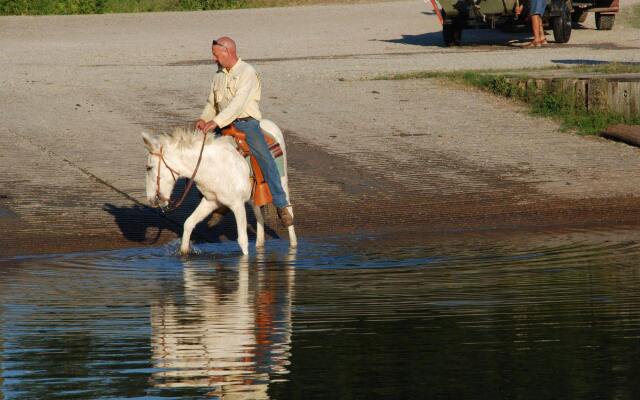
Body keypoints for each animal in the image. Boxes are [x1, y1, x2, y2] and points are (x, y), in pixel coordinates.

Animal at [142, 119, 298, 256]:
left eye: (149, 167)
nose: (151, 200)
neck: (213, 166)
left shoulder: (237, 205)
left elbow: (242, 240)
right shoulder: (210, 201)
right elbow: (188, 224)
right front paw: (184, 253)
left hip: (282, 182)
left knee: (288, 209)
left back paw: (293, 244)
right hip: (254, 196)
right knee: (259, 215)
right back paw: (259, 245)